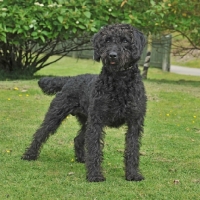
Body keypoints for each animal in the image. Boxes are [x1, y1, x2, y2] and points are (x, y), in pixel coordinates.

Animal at [21, 23, 147, 181]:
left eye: (125, 40)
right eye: (107, 40)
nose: (112, 55)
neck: (119, 81)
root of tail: (69, 79)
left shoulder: (134, 122)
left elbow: (132, 149)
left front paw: (133, 174)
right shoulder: (96, 121)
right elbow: (94, 148)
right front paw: (95, 175)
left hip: (85, 121)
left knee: (78, 139)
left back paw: (82, 158)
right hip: (55, 115)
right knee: (40, 133)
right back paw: (29, 154)